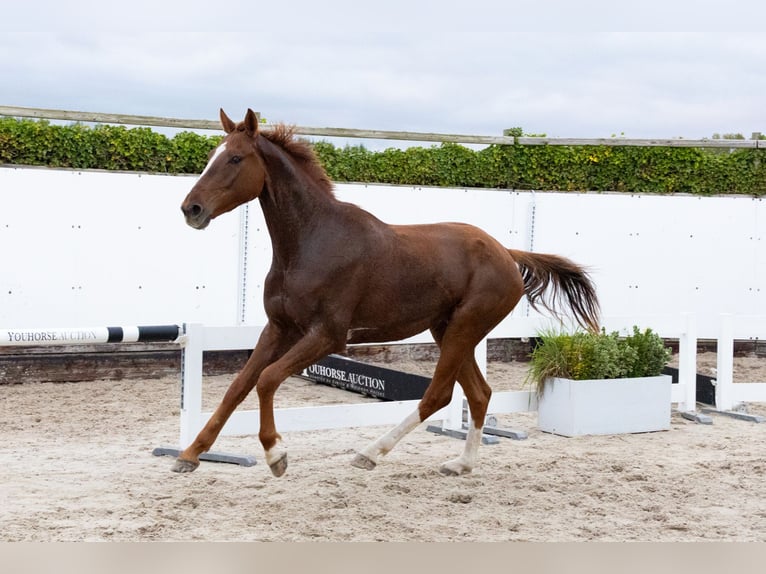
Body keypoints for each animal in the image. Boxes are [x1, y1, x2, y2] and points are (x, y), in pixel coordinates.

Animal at [176, 108, 600, 477]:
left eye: (235, 158)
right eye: (211, 156)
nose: (190, 209)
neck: (311, 242)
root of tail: (508, 253)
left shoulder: (327, 336)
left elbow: (266, 380)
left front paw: (275, 455)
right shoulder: (278, 328)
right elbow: (237, 387)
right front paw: (190, 455)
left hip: (464, 328)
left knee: (439, 394)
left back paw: (370, 453)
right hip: (448, 330)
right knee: (478, 393)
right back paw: (461, 464)